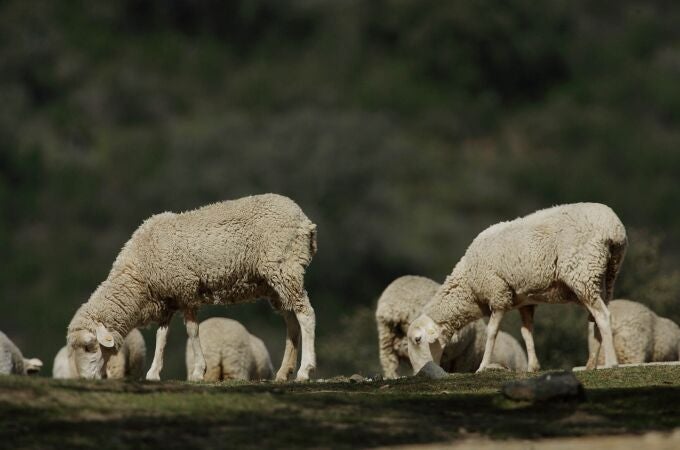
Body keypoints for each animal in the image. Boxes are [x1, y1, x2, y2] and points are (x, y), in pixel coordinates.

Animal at [65, 194, 318, 384]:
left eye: (89, 346)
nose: (85, 379)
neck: (139, 276)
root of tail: (304, 220)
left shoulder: (185, 290)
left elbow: (192, 331)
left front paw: (198, 371)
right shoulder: (167, 299)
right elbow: (162, 337)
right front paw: (154, 373)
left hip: (285, 267)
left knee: (306, 315)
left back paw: (305, 370)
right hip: (275, 283)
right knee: (292, 323)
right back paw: (284, 373)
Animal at [404, 203, 628, 372]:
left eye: (417, 339)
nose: (420, 373)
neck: (469, 285)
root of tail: (614, 228)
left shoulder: (498, 294)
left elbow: (492, 332)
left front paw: (483, 366)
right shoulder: (524, 302)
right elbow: (526, 332)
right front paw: (533, 367)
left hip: (583, 272)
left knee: (603, 316)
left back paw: (611, 363)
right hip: (606, 276)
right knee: (596, 318)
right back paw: (590, 365)